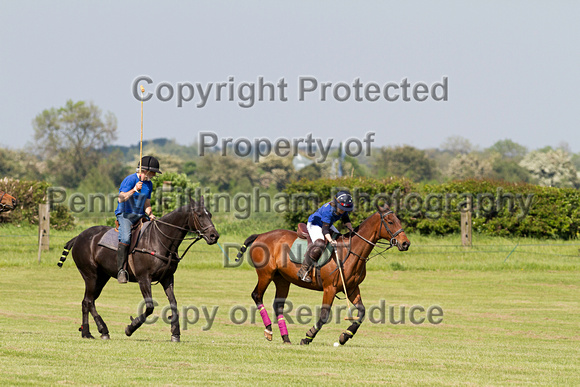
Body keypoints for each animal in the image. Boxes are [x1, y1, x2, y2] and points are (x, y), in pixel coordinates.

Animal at [59, 197, 219, 342]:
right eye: (199, 214)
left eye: (210, 214)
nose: (214, 236)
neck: (160, 240)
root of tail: (78, 237)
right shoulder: (144, 279)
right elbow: (149, 307)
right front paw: (130, 328)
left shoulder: (167, 278)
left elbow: (173, 303)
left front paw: (175, 333)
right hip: (90, 275)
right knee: (89, 301)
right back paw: (98, 330)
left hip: (102, 277)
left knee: (87, 301)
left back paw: (89, 331)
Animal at [236, 205, 408, 348]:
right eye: (390, 221)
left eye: (398, 220)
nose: (406, 243)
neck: (351, 252)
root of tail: (260, 235)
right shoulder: (329, 288)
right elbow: (324, 315)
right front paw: (308, 337)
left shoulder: (352, 288)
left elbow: (362, 312)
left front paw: (344, 336)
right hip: (266, 274)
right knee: (257, 295)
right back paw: (269, 330)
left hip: (282, 279)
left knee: (278, 305)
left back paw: (286, 338)